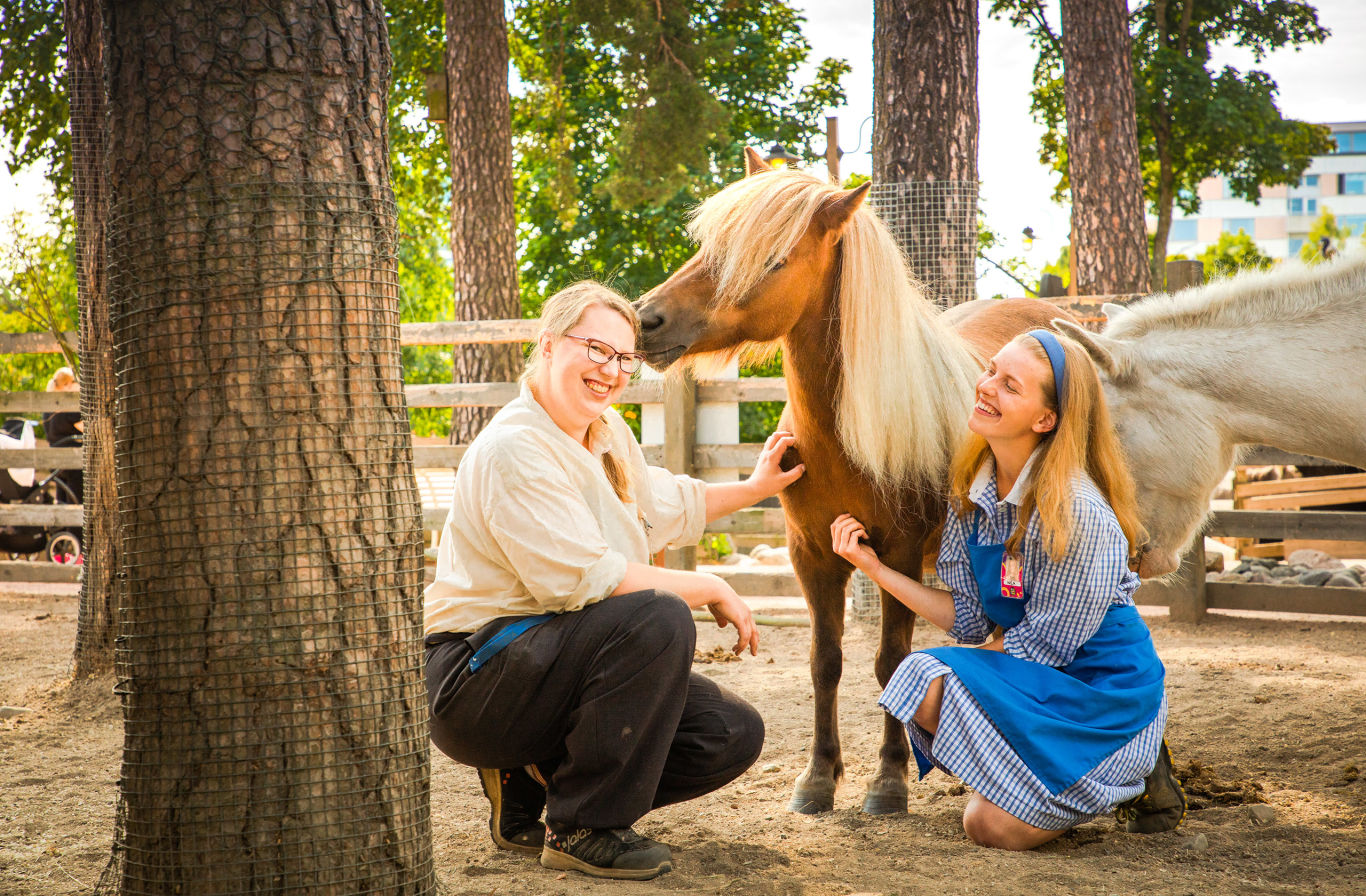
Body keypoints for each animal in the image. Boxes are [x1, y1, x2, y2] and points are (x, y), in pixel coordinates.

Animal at [633, 150, 1070, 814]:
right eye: (708, 243)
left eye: (773, 258)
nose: (645, 320)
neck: (845, 438)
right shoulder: (810, 554)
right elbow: (825, 662)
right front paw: (818, 777)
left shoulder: (896, 555)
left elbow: (891, 663)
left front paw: (888, 781)